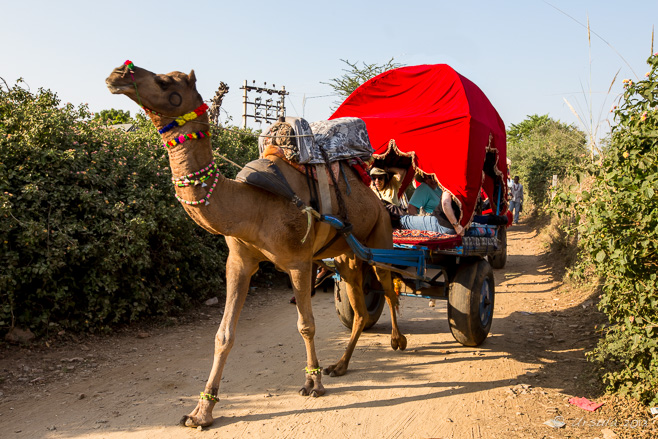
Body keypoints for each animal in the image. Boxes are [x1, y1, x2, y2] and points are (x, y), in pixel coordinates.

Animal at [105, 62, 404, 430]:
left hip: (379, 236)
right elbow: (223, 335)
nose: (118, 74)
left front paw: (313, 383)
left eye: (165, 81)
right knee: (360, 309)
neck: (251, 205)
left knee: (389, 286)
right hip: (346, 255)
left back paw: (397, 341)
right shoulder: (239, 261)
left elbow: (306, 325)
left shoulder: (299, 261)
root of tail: (378, 200)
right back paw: (341, 365)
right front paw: (201, 411)